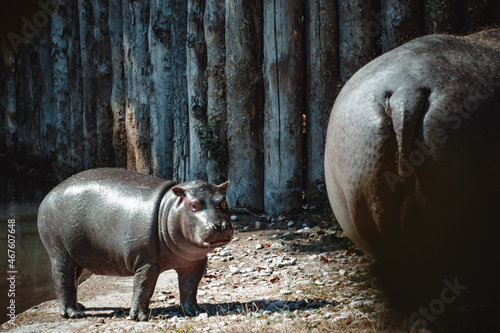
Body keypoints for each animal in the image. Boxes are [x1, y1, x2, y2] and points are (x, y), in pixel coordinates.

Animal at [38, 167, 233, 320]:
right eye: (193, 205)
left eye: (223, 201)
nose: (221, 226)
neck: (169, 209)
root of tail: (50, 193)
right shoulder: (147, 263)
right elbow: (143, 287)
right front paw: (139, 317)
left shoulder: (194, 263)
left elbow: (190, 288)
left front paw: (195, 311)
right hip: (60, 253)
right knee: (62, 278)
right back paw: (73, 313)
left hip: (77, 256)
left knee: (73, 279)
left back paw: (80, 306)